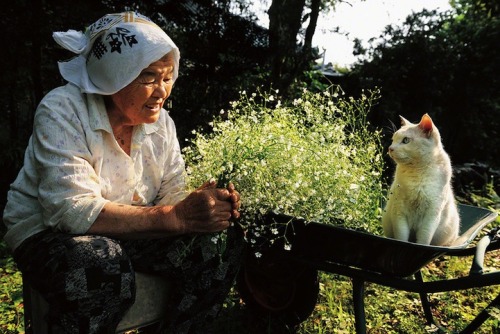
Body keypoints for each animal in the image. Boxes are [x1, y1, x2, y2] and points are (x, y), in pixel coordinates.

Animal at [382, 113, 460, 247]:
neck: (417, 173)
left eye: (406, 140)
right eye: (393, 139)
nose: (390, 148)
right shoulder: (399, 212)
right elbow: (401, 237)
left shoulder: (432, 215)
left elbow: (424, 239)